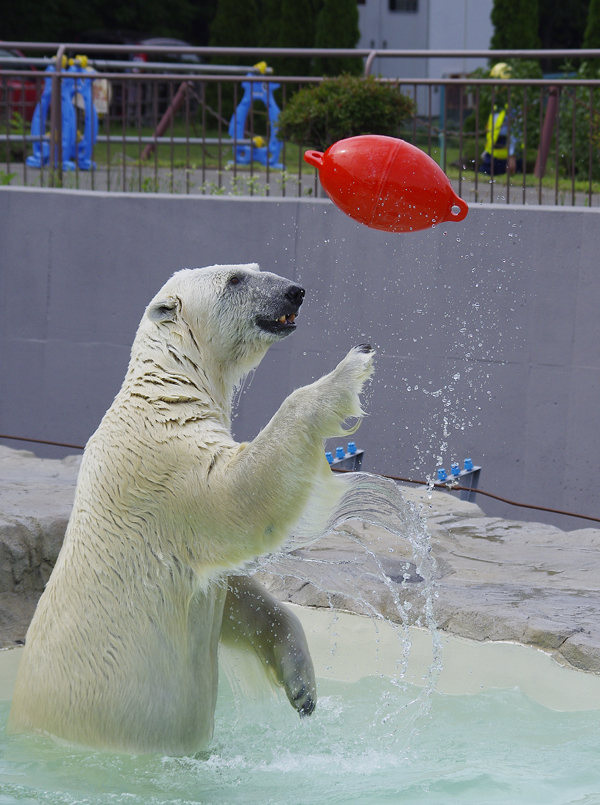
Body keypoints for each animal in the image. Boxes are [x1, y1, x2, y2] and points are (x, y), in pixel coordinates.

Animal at [8, 262, 376, 752]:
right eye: (236, 279)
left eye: (255, 268)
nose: (295, 292)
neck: (166, 386)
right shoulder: (166, 464)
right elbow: (238, 496)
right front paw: (352, 364)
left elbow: (236, 596)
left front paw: (302, 688)